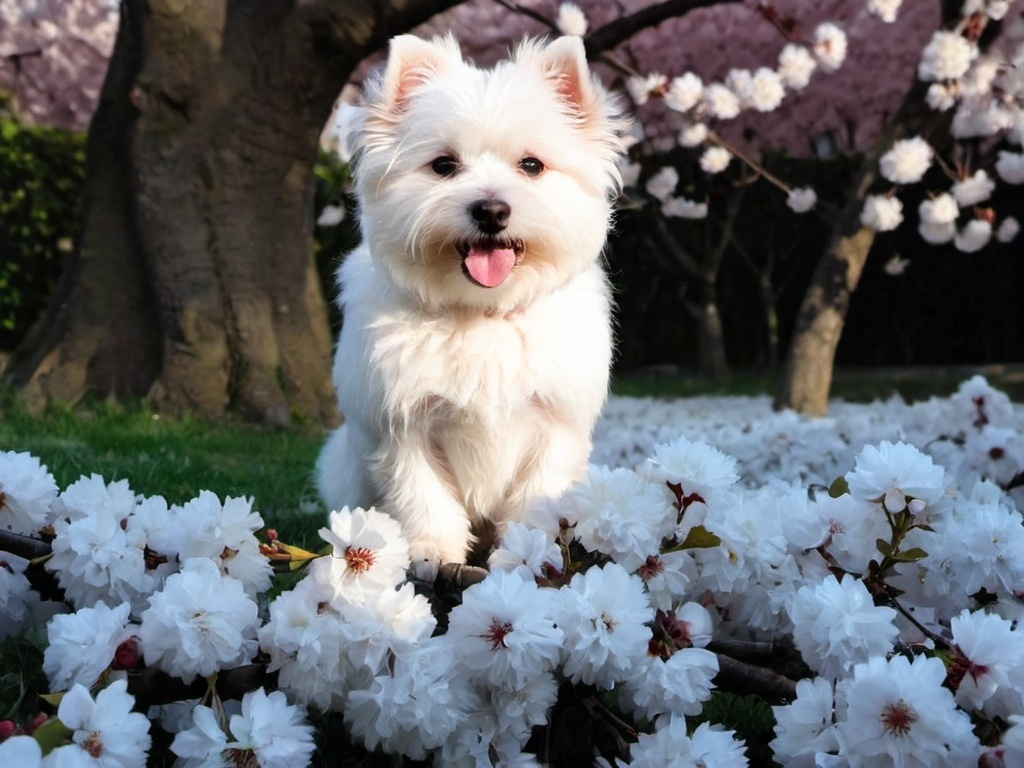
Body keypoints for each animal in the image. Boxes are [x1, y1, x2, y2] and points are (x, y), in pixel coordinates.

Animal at [315, 34, 626, 577]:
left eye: (531, 165)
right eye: (443, 165)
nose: (492, 210)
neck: (482, 312)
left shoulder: (553, 426)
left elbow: (537, 498)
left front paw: (526, 553)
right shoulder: (404, 428)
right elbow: (424, 498)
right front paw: (432, 554)